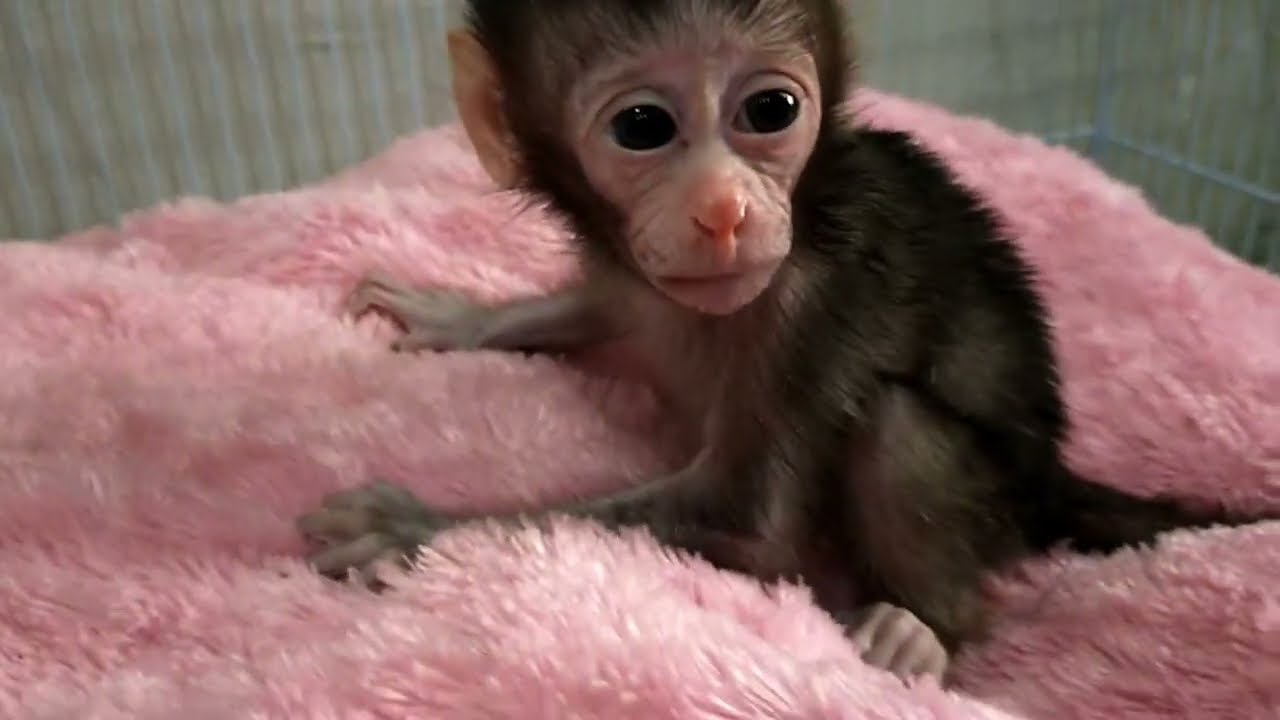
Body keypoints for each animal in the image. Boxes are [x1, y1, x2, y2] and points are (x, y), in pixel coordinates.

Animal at [295, 0, 1274, 684]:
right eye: (643, 127)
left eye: (770, 109)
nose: (724, 210)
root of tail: (1049, 475)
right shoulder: (623, 275)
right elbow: (600, 306)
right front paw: (457, 316)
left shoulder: (815, 302)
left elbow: (757, 531)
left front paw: (416, 526)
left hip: (995, 495)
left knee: (893, 427)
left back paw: (925, 624)